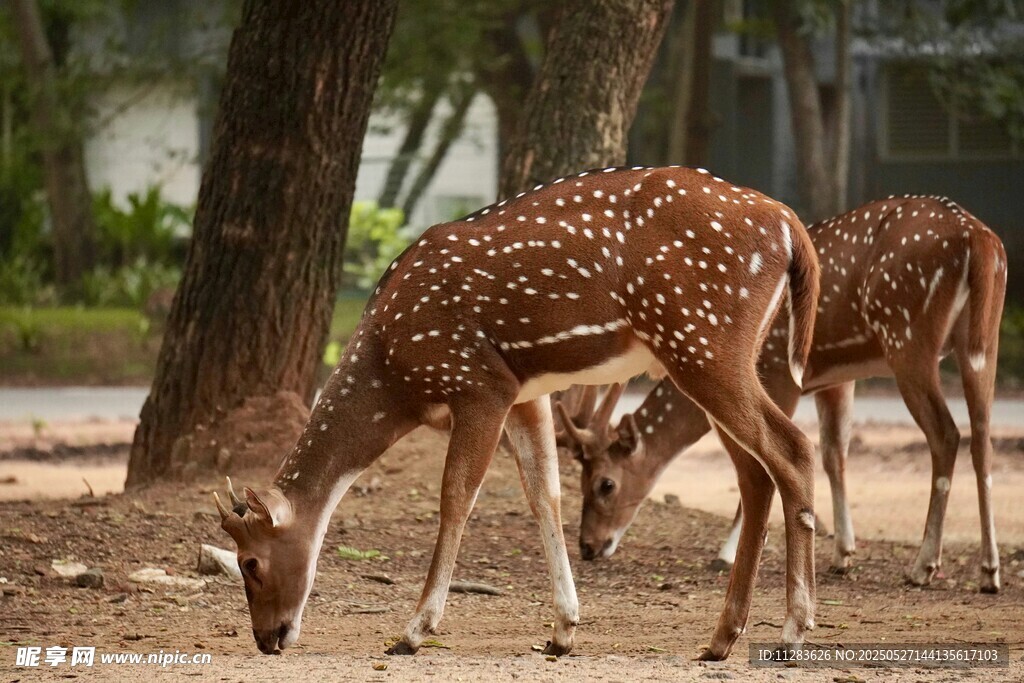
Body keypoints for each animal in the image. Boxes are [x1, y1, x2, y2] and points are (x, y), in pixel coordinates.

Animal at [214, 165, 821, 661]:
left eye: (250, 563)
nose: (267, 638)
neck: (395, 372)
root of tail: (790, 225)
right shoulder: (527, 393)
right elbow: (544, 493)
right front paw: (562, 632)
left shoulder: (479, 383)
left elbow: (456, 496)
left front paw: (413, 631)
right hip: (714, 350)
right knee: (755, 474)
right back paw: (721, 639)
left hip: (702, 340)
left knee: (792, 448)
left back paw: (793, 632)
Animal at [558, 195, 1007, 594]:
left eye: (604, 484)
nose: (588, 546)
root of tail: (980, 242)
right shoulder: (836, 378)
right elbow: (834, 453)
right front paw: (843, 554)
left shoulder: (778, 371)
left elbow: (770, 458)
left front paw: (725, 553)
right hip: (982, 342)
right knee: (983, 438)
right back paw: (989, 571)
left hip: (908, 338)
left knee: (947, 433)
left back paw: (923, 566)